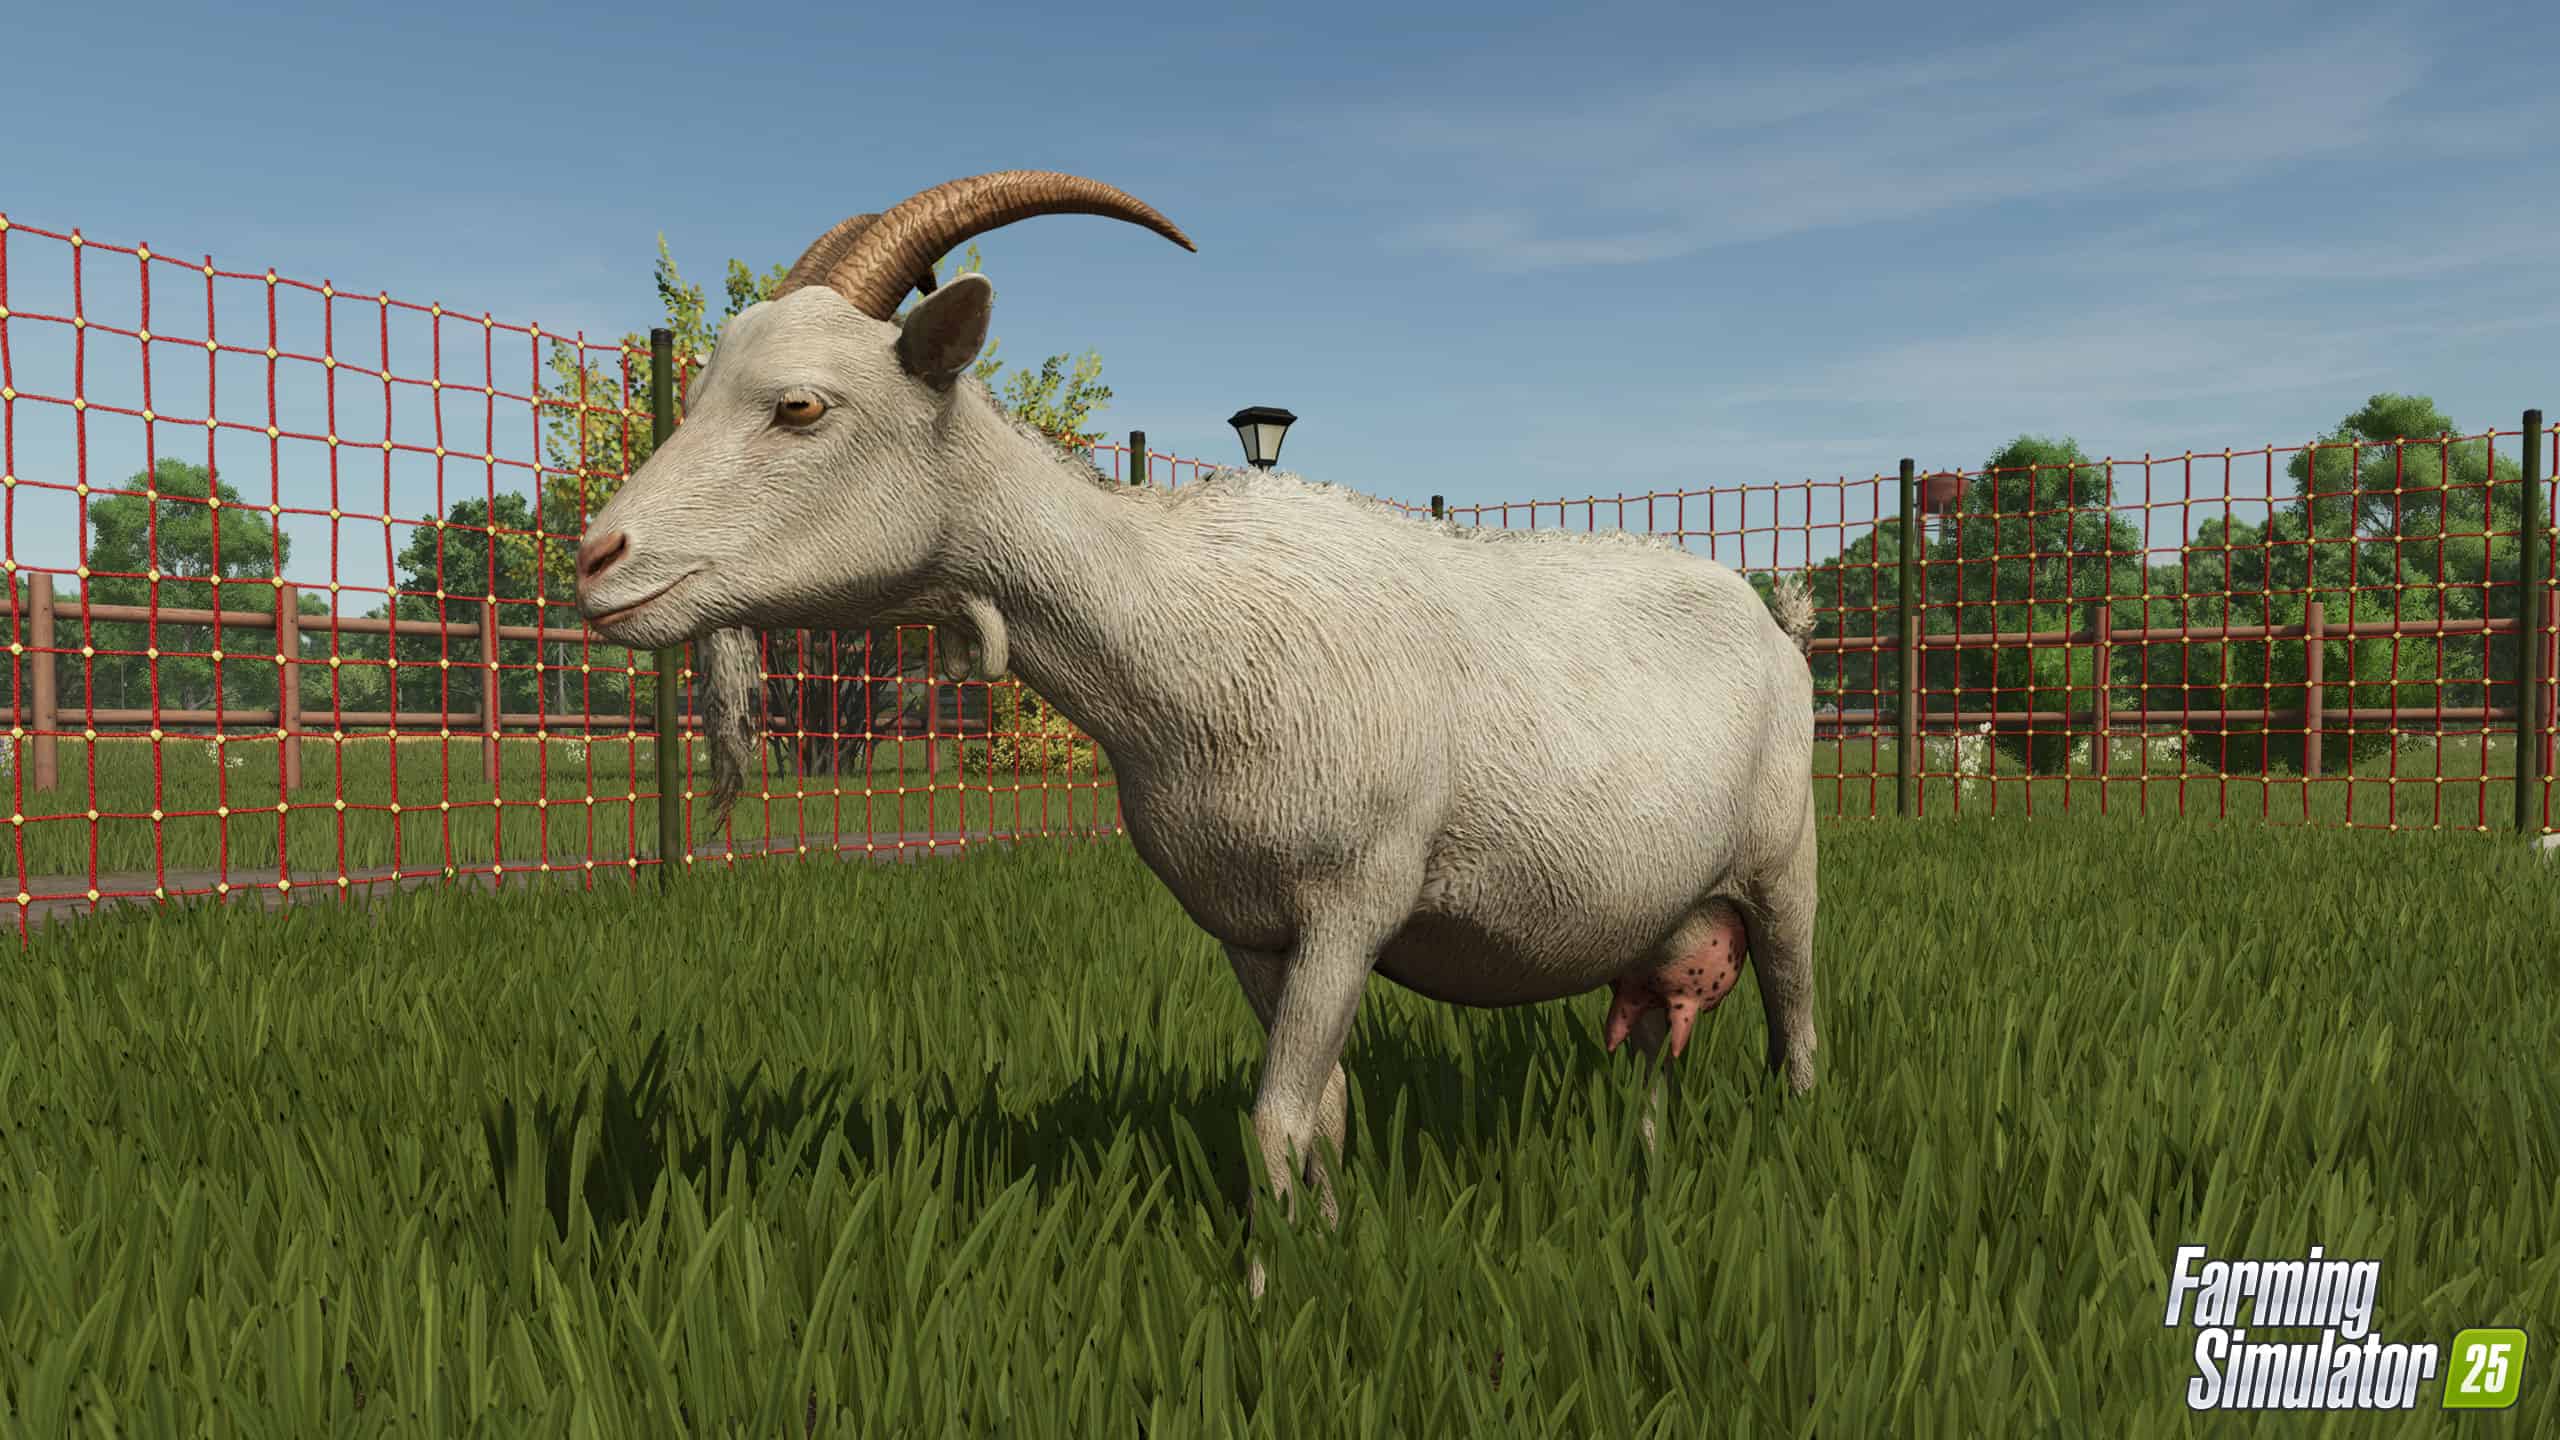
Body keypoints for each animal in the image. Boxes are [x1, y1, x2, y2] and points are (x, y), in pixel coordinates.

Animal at [573, 171, 1822, 1294]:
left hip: (1783, 863)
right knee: (1655, 1048)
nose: (596, 562)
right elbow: (1321, 1110)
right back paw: (1647, 1163)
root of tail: (1772, 618)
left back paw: (1795, 1148)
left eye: (801, 406)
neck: (1183, 626)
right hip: (1663, 916)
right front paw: (1321, 1248)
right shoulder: (1248, 924)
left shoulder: (1351, 903)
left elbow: (1274, 1120)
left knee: (1795, 1026)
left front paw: (1270, 1300)